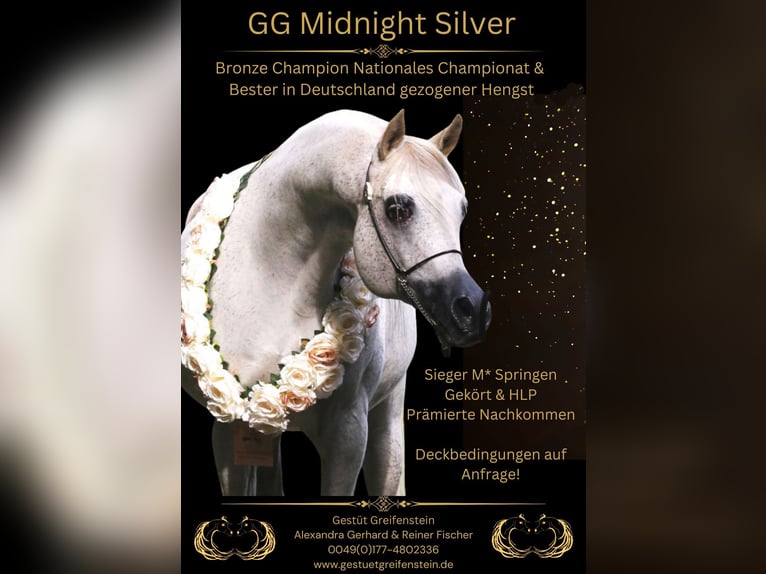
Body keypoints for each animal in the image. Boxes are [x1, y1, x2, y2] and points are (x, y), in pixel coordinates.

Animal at [181, 109, 490, 496]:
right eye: (398, 209)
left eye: (461, 211)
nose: (472, 311)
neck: (268, 275)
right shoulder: (228, 427)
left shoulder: (348, 432)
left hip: (387, 416)